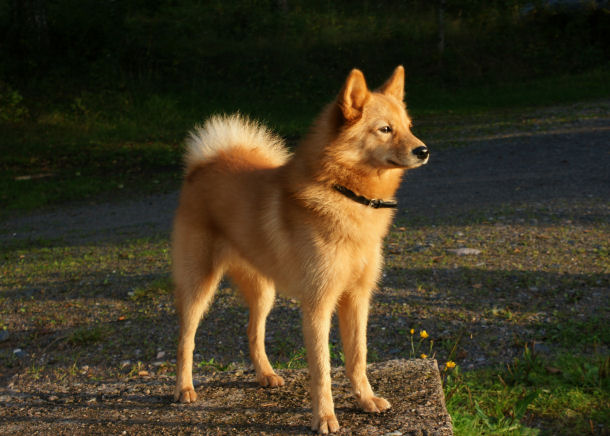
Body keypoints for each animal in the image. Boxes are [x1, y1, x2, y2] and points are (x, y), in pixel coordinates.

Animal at [171, 65, 428, 432]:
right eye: (385, 129)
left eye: (409, 126)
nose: (424, 151)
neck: (345, 193)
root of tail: (203, 167)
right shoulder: (318, 305)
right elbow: (321, 369)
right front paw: (325, 417)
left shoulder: (357, 298)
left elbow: (357, 357)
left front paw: (365, 400)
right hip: (198, 287)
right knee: (185, 340)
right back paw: (184, 388)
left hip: (264, 291)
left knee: (253, 331)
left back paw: (265, 375)